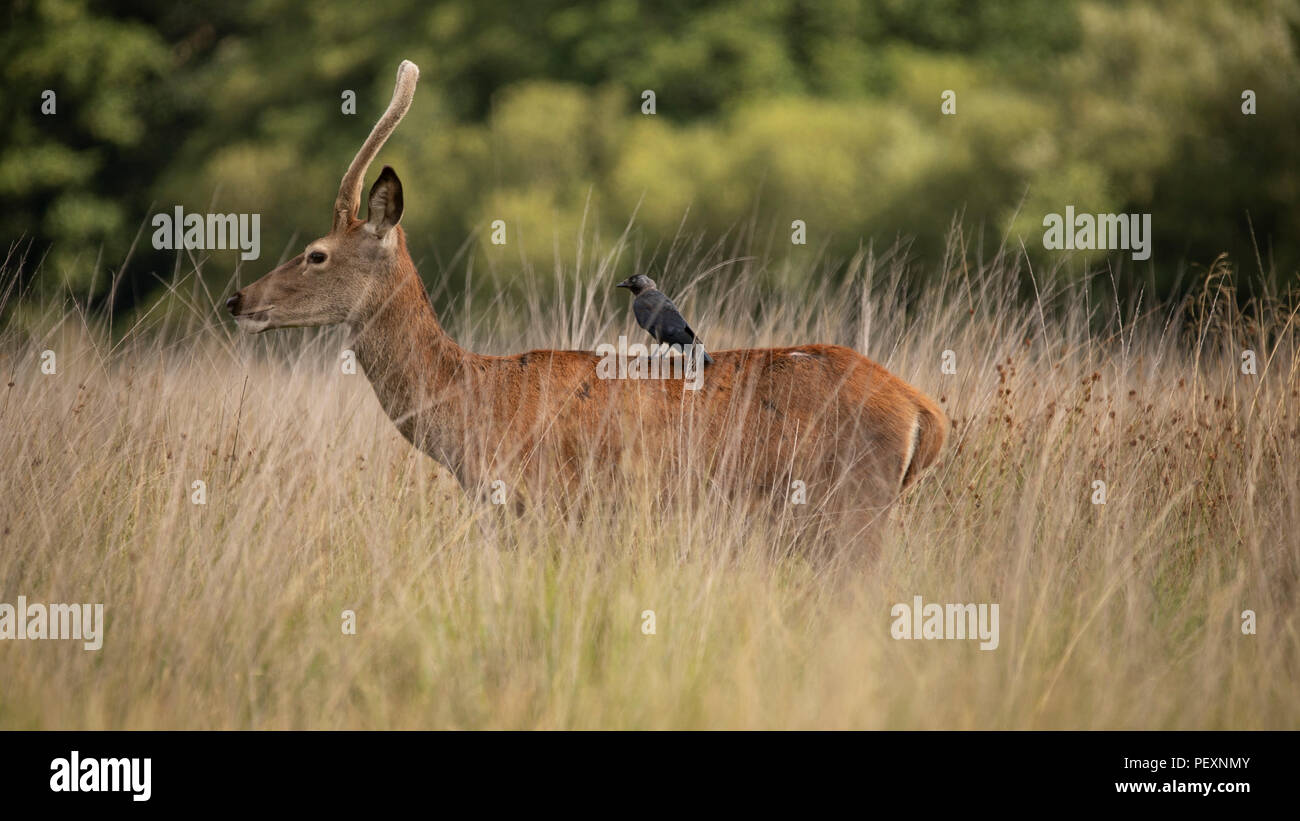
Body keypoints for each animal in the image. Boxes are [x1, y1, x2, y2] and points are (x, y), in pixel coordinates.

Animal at [228, 61, 951, 543]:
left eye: (317, 253)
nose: (238, 299)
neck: (470, 409)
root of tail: (926, 412)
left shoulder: (542, 507)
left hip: (850, 512)